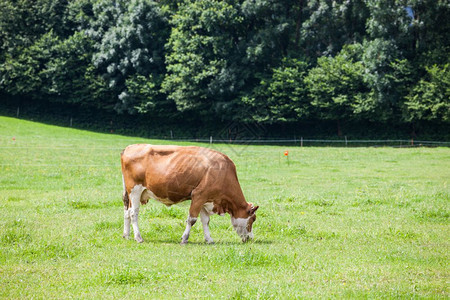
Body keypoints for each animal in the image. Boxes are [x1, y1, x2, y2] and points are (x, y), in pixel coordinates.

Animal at [121, 144, 258, 244]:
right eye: (252, 220)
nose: (251, 239)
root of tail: (130, 147)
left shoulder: (205, 199)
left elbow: (205, 221)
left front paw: (209, 239)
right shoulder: (199, 195)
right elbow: (192, 219)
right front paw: (184, 238)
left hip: (129, 193)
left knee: (127, 212)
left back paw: (126, 235)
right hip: (135, 190)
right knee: (133, 213)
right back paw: (138, 237)